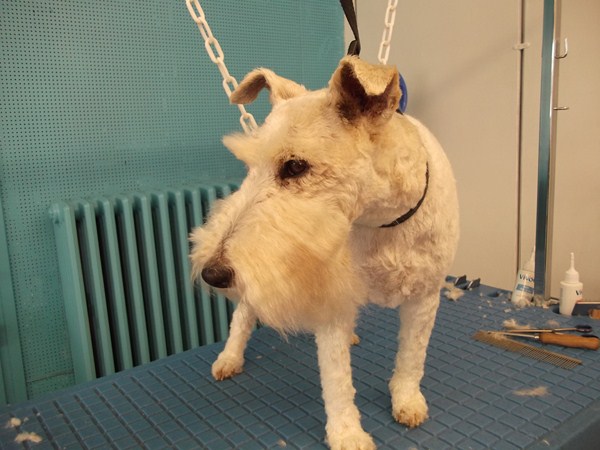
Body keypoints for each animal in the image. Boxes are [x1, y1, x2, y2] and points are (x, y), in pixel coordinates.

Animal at [190, 55, 459, 450]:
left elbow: (411, 359)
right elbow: (337, 382)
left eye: (295, 166)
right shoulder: (333, 302)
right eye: (249, 168)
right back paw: (229, 357)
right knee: (243, 315)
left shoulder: (424, 298)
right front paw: (348, 434)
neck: (381, 222)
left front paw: (407, 401)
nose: (212, 273)